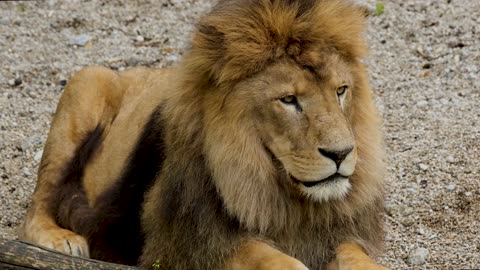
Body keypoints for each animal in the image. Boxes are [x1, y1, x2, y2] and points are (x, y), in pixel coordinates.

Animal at [19, 0, 390, 270]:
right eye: (288, 100)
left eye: (341, 91)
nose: (341, 154)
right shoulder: (182, 246)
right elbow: (271, 258)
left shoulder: (337, 233)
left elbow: (358, 258)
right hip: (86, 82)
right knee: (38, 204)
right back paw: (62, 240)